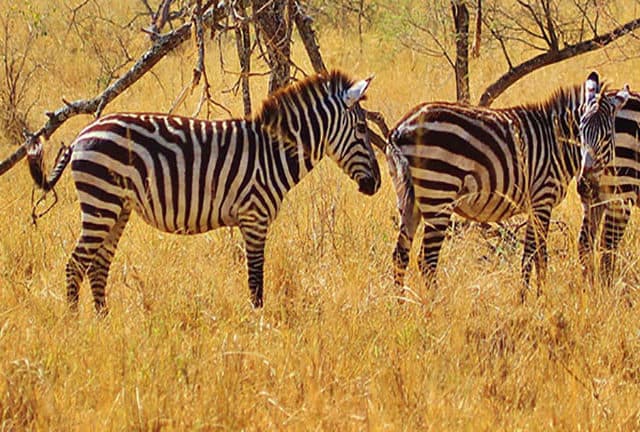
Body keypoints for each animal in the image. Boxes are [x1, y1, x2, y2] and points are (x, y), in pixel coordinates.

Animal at [27, 70, 381, 313]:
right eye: (362, 129)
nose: (376, 184)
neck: (273, 153)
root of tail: (81, 135)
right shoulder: (254, 217)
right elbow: (256, 281)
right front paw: (259, 327)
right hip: (102, 201)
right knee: (76, 265)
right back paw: (75, 325)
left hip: (118, 207)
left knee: (98, 265)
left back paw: (104, 322)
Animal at [385, 72, 628, 302]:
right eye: (580, 132)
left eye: (606, 136)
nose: (585, 185)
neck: (556, 144)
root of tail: (399, 128)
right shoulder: (543, 198)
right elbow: (536, 254)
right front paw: (535, 299)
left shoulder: (534, 204)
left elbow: (533, 255)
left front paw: (531, 297)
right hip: (438, 193)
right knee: (427, 261)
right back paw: (435, 306)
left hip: (409, 199)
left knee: (400, 256)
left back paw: (400, 304)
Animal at [578, 90, 640, 288]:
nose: (583, 184)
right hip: (621, 195)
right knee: (608, 246)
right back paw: (606, 290)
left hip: (595, 198)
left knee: (585, 243)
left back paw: (589, 289)